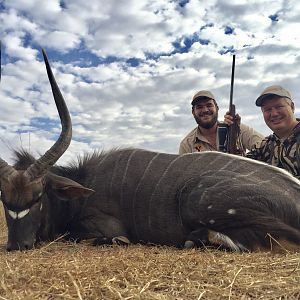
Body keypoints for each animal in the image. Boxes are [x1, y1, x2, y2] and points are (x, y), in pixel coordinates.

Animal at [0, 48, 300, 251]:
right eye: (4, 199)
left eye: (38, 197)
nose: (17, 245)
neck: (83, 185)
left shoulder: (106, 226)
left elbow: (107, 237)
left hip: (198, 200)